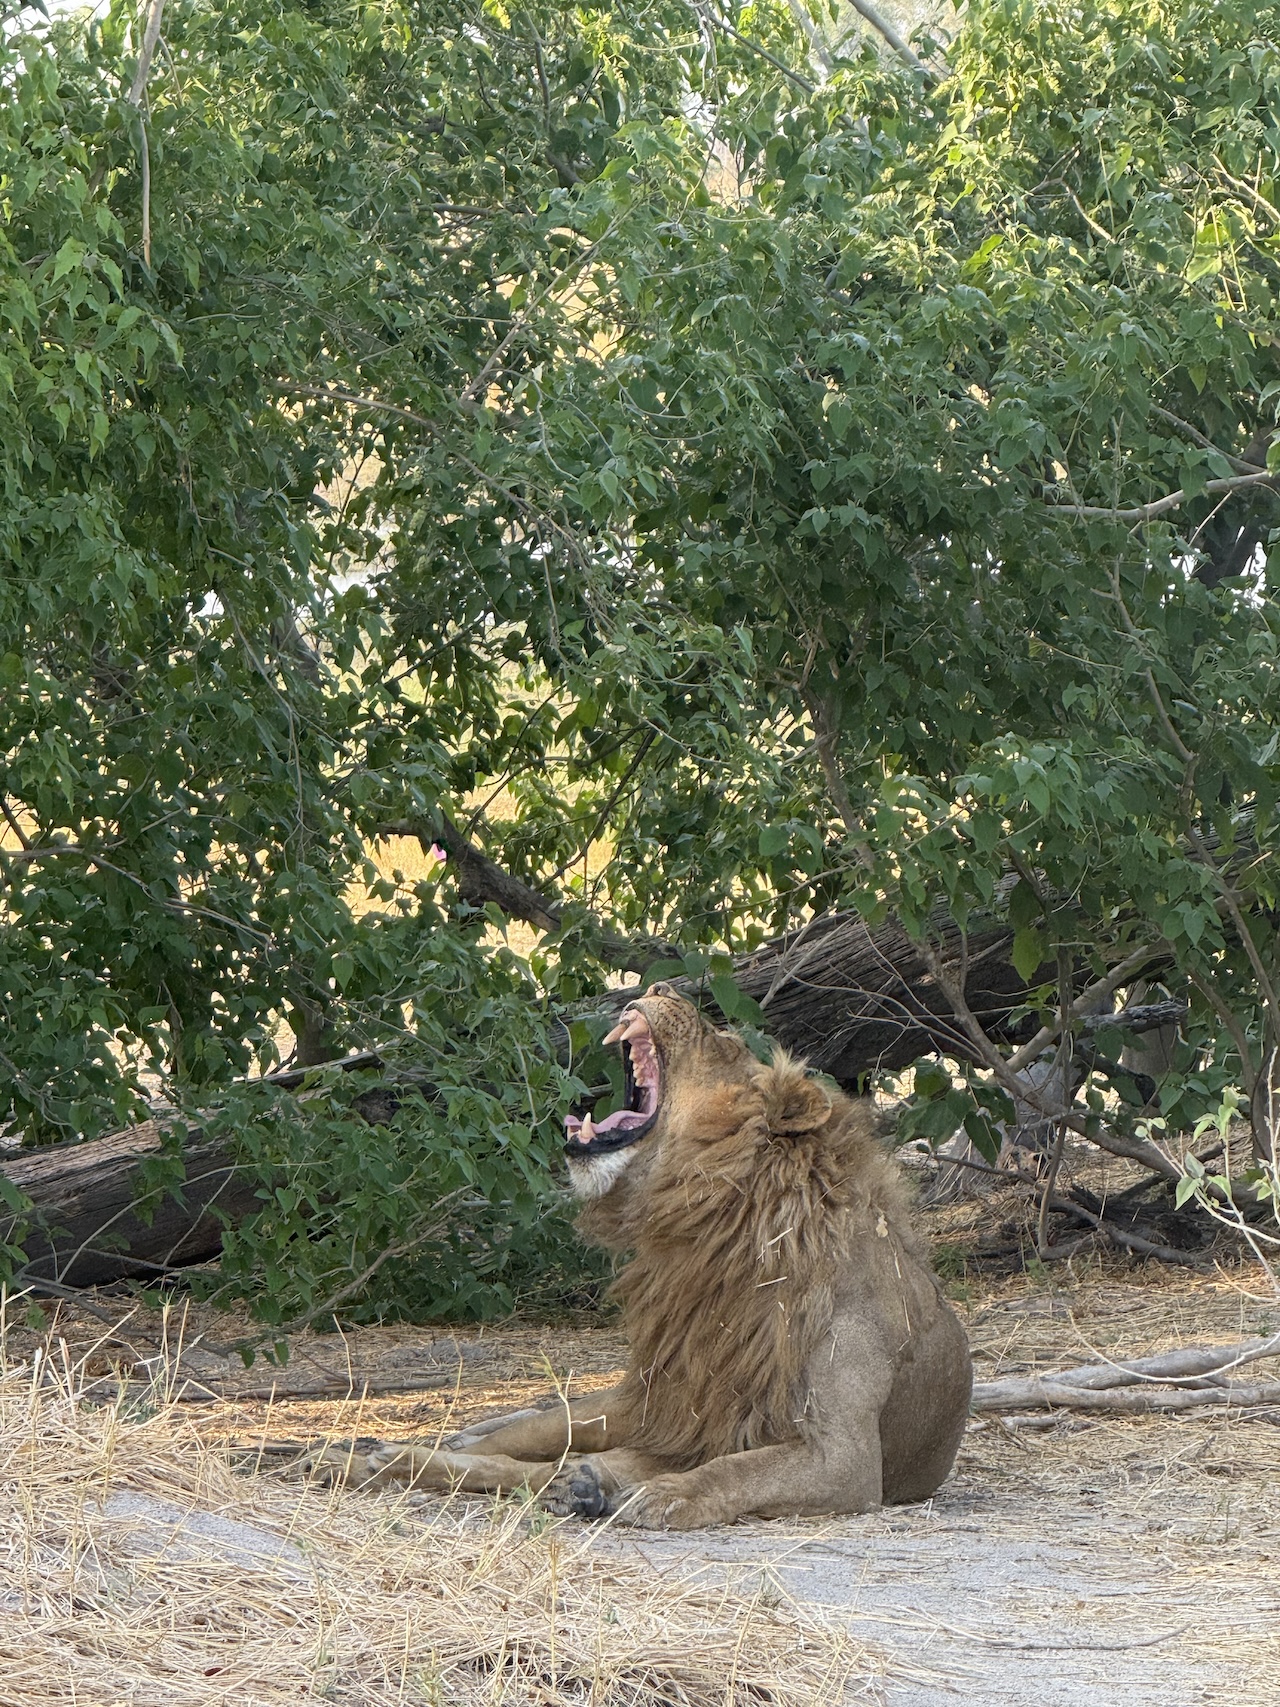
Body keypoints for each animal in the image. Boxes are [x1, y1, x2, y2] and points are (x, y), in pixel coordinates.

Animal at [313, 987, 972, 1528]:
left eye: (726, 1043)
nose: (659, 986)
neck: (720, 1227)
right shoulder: (675, 1407)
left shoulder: (845, 1457)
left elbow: (739, 1470)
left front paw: (670, 1495)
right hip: (631, 1403)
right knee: (522, 1439)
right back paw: (371, 1456)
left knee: (549, 1466)